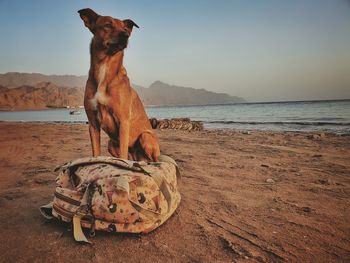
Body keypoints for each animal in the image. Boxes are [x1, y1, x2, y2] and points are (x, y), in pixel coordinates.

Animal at [77, 7, 160, 161]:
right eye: (107, 25)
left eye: (125, 28)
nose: (126, 35)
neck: (105, 65)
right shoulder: (93, 123)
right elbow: (96, 153)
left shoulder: (123, 122)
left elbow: (122, 154)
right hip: (111, 144)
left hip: (145, 137)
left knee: (153, 160)